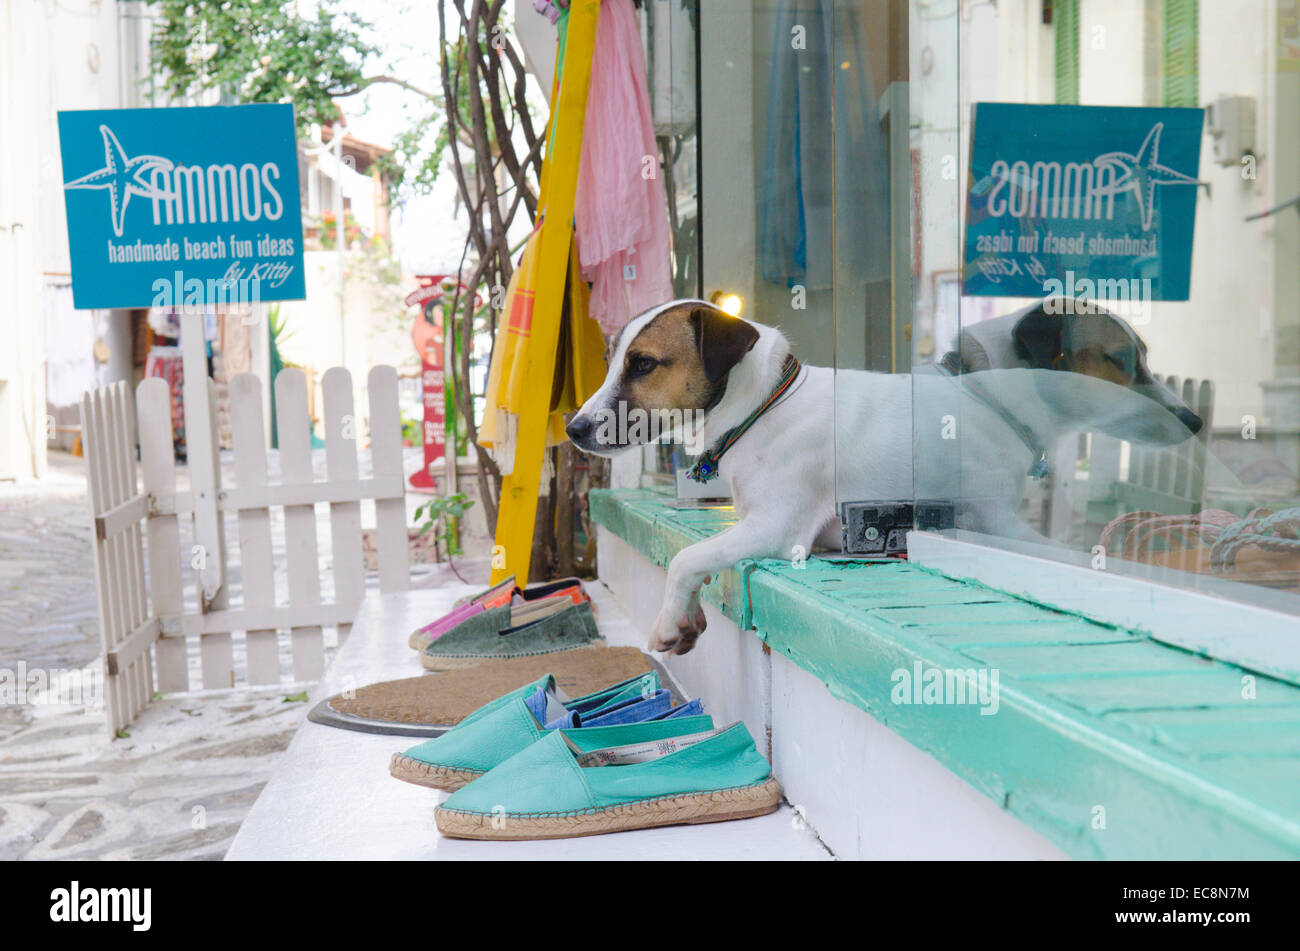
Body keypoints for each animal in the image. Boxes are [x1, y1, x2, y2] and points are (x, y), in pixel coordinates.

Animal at [564, 297, 1201, 654]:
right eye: (1125, 360)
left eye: (644, 365)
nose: (572, 429)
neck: (763, 406)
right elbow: (694, 557)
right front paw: (684, 615)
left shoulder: (779, 528)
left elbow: (685, 557)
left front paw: (671, 620)